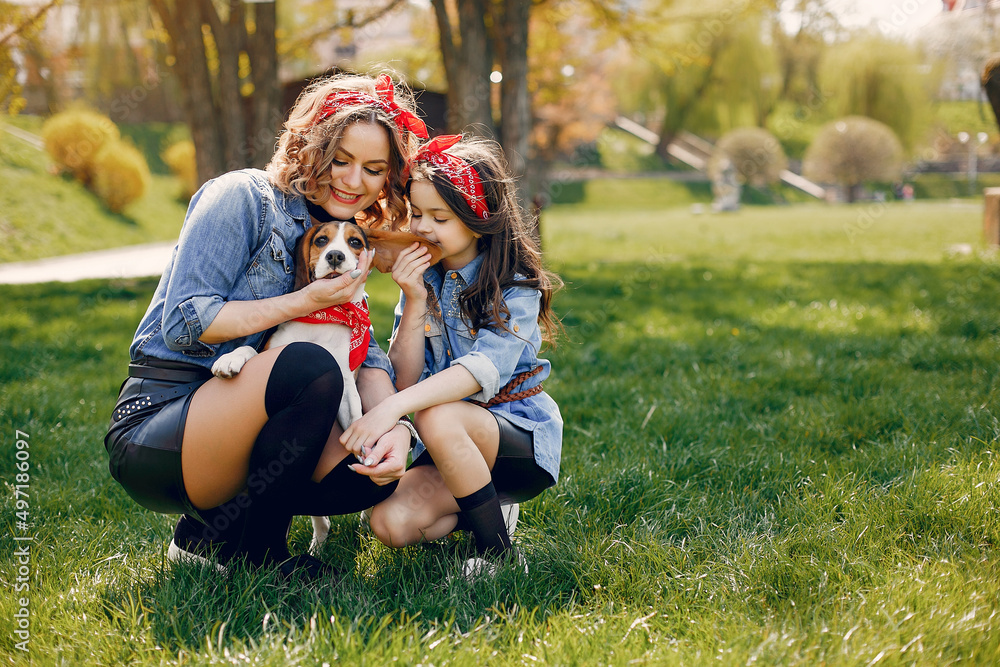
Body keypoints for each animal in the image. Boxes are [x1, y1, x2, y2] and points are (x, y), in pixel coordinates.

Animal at [211, 222, 442, 552]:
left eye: (355, 243)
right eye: (321, 240)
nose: (335, 256)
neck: (323, 319)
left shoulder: (345, 384)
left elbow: (357, 424)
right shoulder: (272, 349)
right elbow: (250, 350)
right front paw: (231, 358)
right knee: (320, 520)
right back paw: (317, 545)